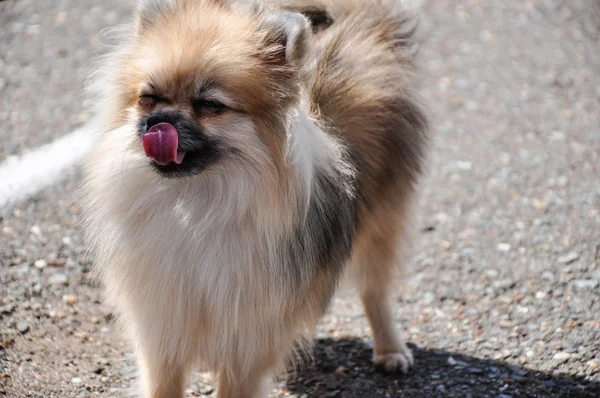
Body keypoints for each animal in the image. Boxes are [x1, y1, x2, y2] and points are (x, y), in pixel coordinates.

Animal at [81, 1, 426, 396]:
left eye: (210, 105)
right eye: (147, 98)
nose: (158, 122)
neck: (196, 204)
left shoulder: (250, 336)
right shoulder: (163, 324)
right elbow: (164, 382)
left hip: (381, 221)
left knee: (375, 290)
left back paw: (390, 349)